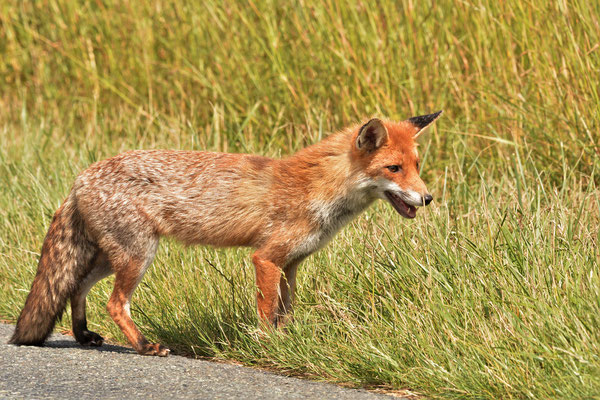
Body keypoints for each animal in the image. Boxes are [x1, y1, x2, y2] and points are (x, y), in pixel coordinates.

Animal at [8, 110, 440, 356]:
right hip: (137, 256)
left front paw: (288, 342)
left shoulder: (292, 263)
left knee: (76, 287)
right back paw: (144, 346)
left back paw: (83, 335)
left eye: (417, 166)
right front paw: (269, 347)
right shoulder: (266, 257)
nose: (428, 198)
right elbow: (267, 312)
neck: (319, 190)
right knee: (115, 304)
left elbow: (286, 310)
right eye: (394, 169)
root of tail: (81, 176)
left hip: (111, 257)